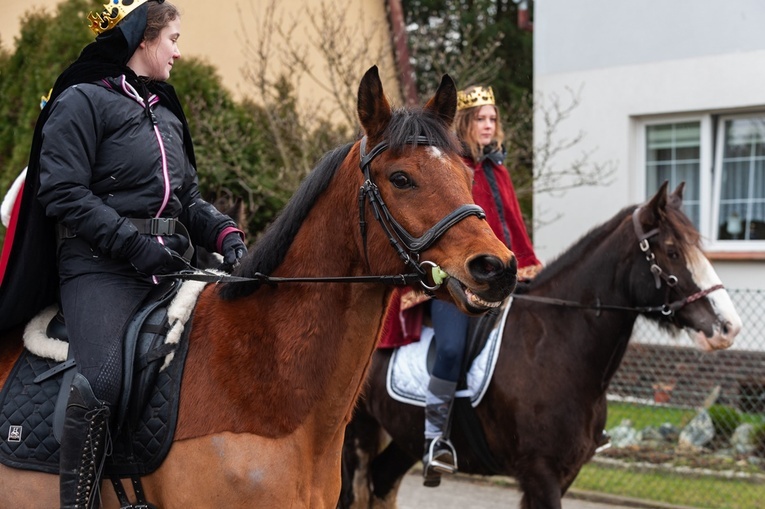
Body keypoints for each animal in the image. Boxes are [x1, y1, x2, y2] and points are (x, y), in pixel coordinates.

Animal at [338, 183, 740, 508]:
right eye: (671, 251)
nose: (728, 326)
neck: (558, 345)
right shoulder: (540, 472)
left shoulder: (563, 475)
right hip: (351, 439)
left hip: (404, 438)